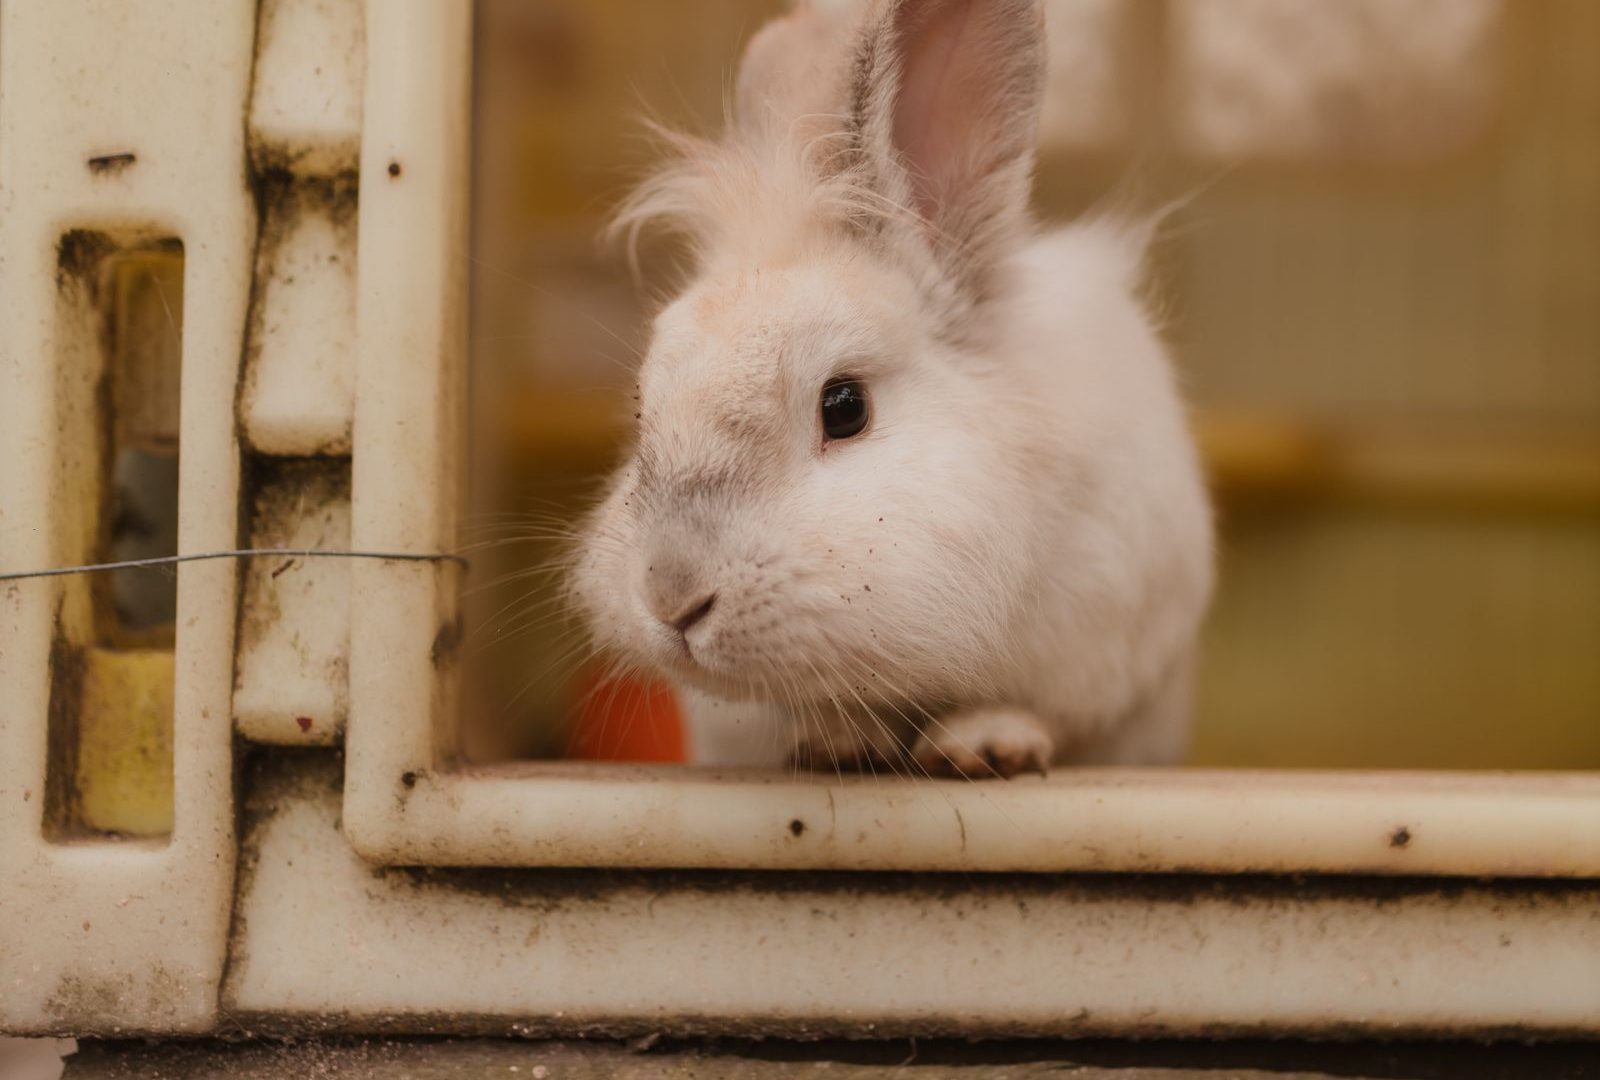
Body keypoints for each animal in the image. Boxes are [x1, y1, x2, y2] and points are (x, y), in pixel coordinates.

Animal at [568, 0, 1214, 777]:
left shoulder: (1105, 648)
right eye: (643, 408)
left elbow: (1042, 710)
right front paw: (838, 743)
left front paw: (985, 745)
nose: (672, 597)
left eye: (845, 407)